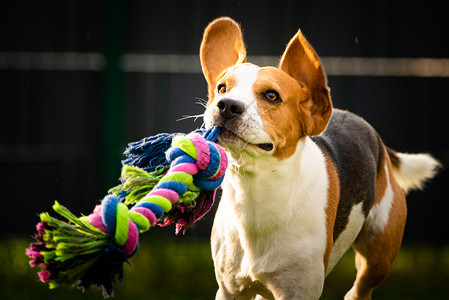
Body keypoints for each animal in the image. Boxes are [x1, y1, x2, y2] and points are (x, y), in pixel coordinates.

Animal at [198, 17, 436, 300]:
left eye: (271, 96)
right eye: (222, 88)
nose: (226, 105)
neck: (256, 191)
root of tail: (373, 134)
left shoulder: (299, 290)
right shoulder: (230, 290)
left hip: (378, 255)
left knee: (359, 289)